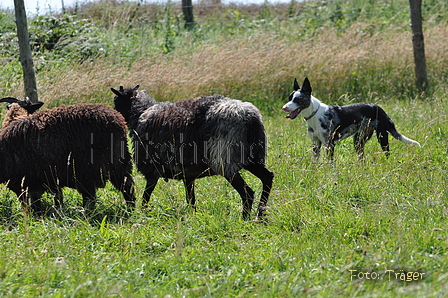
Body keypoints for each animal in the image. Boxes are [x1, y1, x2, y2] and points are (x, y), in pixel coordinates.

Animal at [0, 99, 135, 215]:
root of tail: (118, 120)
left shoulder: (29, 182)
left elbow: (39, 203)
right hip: (119, 163)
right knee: (127, 187)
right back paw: (130, 211)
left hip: (88, 169)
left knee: (91, 197)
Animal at [112, 85, 272, 220]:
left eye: (116, 101)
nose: (115, 117)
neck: (140, 113)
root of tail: (250, 117)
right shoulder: (187, 173)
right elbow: (191, 199)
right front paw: (194, 217)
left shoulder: (152, 169)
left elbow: (147, 195)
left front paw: (142, 213)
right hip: (251, 156)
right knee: (267, 177)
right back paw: (260, 215)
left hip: (226, 159)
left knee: (247, 192)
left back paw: (244, 219)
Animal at [282, 77, 422, 161]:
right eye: (289, 98)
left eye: (297, 99)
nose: (284, 108)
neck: (315, 115)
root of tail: (380, 109)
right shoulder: (316, 144)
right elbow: (314, 162)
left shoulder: (329, 144)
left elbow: (330, 163)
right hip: (359, 141)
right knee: (362, 158)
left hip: (382, 138)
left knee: (387, 154)